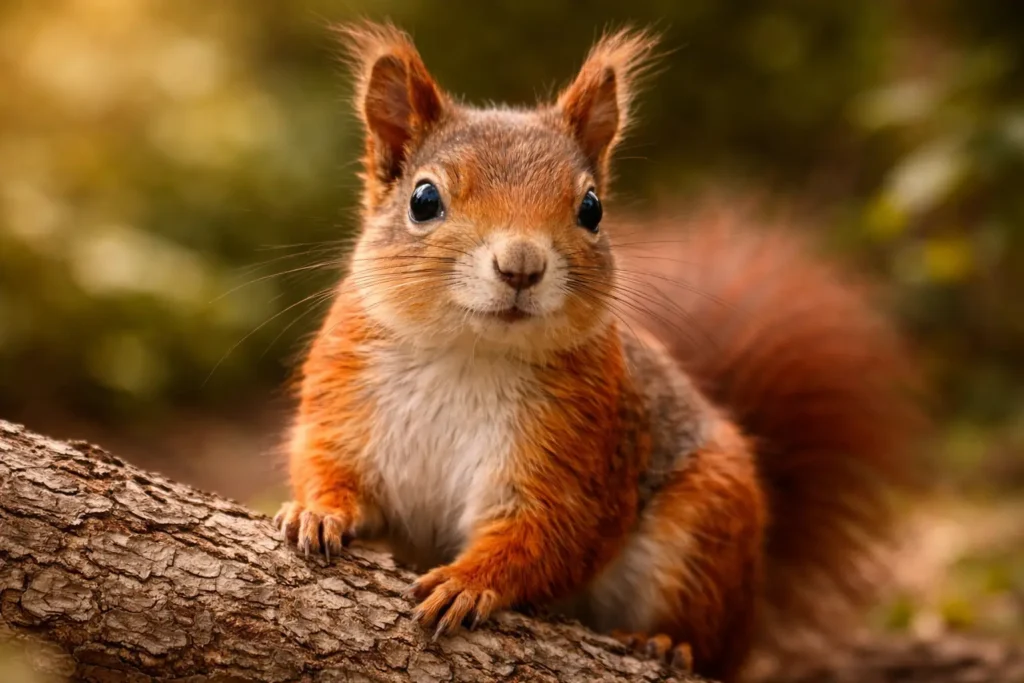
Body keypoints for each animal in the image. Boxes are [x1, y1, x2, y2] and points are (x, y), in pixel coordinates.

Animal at [274, 22, 922, 682]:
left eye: (592, 208)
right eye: (423, 200)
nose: (521, 265)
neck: (468, 352)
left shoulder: (578, 449)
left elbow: (547, 535)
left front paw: (469, 581)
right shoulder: (344, 394)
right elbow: (326, 463)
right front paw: (318, 512)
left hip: (707, 530)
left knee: (712, 642)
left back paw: (665, 644)